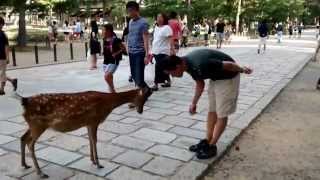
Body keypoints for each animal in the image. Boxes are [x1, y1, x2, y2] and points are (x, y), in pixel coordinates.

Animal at [15, 87, 153, 179]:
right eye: (144, 97)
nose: (140, 111)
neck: (108, 103)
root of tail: (24, 101)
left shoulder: (88, 122)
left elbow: (90, 139)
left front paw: (93, 161)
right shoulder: (94, 120)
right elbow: (95, 140)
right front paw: (99, 164)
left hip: (33, 125)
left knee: (23, 138)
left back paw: (25, 165)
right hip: (38, 124)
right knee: (30, 143)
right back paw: (41, 173)